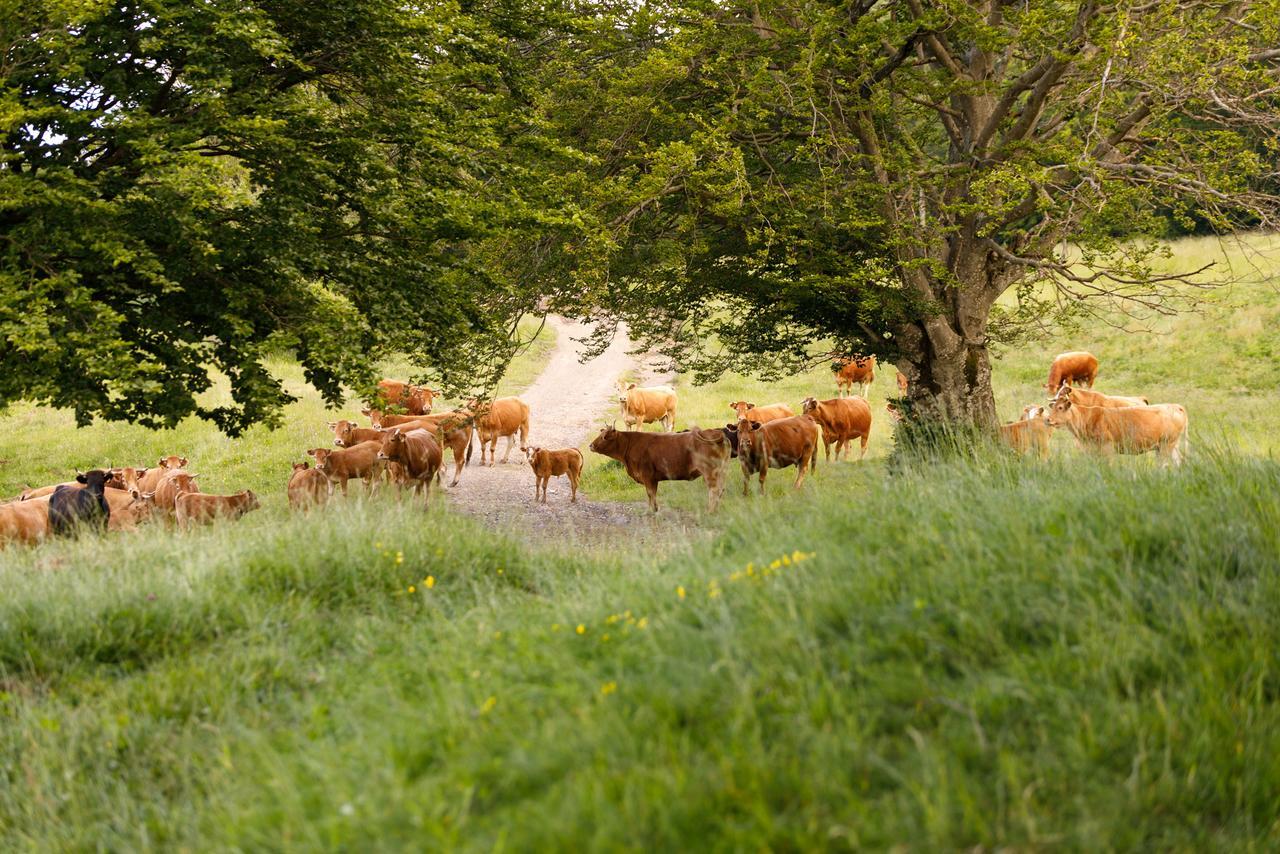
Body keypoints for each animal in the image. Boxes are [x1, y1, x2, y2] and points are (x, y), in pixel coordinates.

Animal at [588, 422, 732, 512]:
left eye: (604, 437)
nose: (591, 445)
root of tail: (715, 432)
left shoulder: (647, 476)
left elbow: (650, 494)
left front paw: (652, 510)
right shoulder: (653, 479)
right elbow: (652, 495)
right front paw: (654, 509)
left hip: (710, 472)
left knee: (714, 490)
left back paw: (710, 511)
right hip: (722, 471)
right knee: (720, 490)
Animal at [1044, 389, 1182, 463]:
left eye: (1060, 407)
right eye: (1053, 407)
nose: (1048, 419)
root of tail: (1176, 407)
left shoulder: (1108, 449)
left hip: (1166, 446)